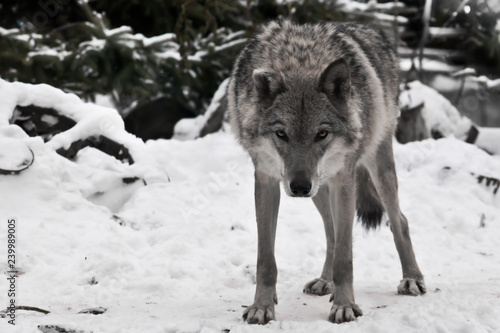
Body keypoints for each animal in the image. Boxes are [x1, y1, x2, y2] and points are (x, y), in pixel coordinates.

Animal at [227, 19, 426, 322]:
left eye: (322, 134)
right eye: (281, 134)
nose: (299, 187)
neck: (300, 63)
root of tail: (371, 29)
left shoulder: (344, 180)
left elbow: (345, 257)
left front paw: (345, 306)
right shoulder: (266, 179)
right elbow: (265, 258)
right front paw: (262, 306)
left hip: (373, 168)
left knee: (398, 220)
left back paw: (412, 278)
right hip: (321, 188)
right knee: (331, 232)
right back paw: (325, 280)